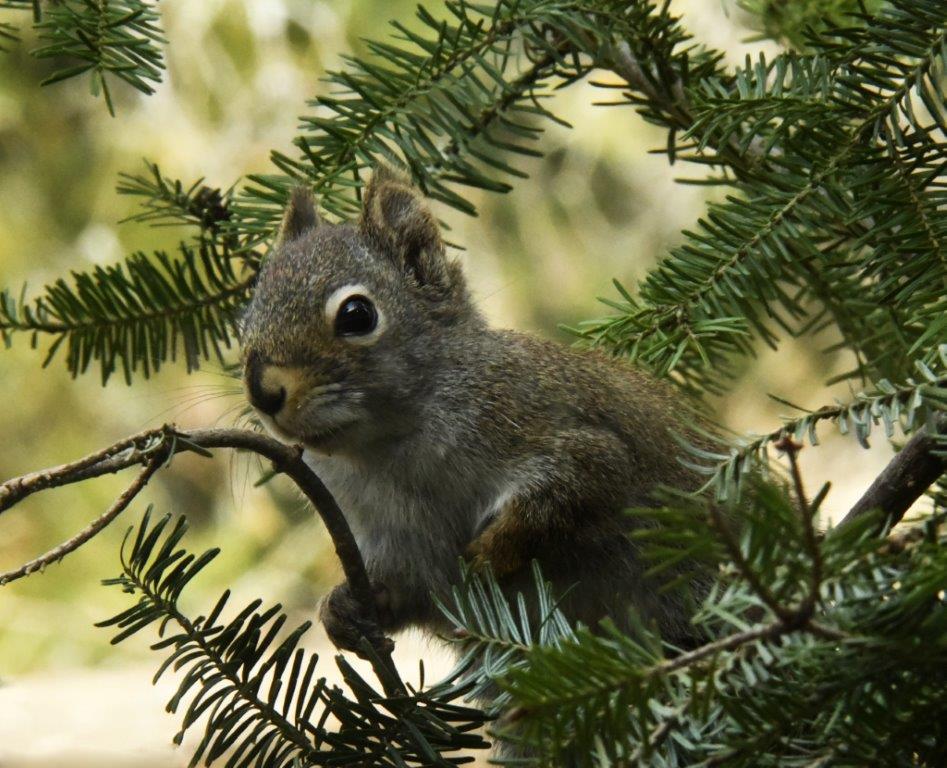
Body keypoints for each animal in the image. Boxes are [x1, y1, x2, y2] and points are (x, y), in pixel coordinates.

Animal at [240, 166, 710, 654]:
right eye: (246, 320)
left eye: (357, 314)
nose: (263, 391)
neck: (388, 449)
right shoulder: (403, 547)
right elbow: (407, 593)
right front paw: (343, 610)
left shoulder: (554, 431)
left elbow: (572, 489)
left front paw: (489, 554)